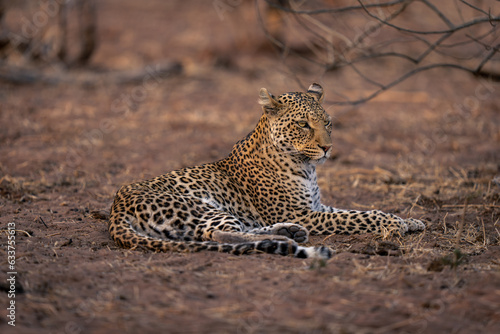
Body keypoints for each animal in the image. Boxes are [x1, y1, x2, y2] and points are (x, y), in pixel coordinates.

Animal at [107, 82, 424, 260]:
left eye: (327, 122)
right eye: (303, 124)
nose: (327, 148)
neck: (306, 167)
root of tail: (116, 208)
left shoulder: (316, 207)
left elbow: (356, 211)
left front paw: (411, 220)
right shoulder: (302, 212)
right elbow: (360, 217)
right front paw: (395, 223)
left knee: (236, 229)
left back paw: (288, 233)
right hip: (200, 206)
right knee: (218, 235)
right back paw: (283, 239)